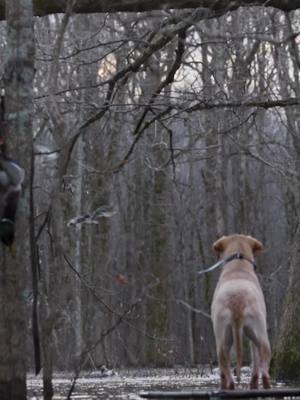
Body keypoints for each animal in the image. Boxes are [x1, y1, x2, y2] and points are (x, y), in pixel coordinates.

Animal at [210, 234, 270, 390]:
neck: (238, 264)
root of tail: (236, 303)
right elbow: (255, 359)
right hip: (258, 332)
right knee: (262, 359)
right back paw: (265, 385)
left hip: (223, 334)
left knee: (223, 361)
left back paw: (227, 385)